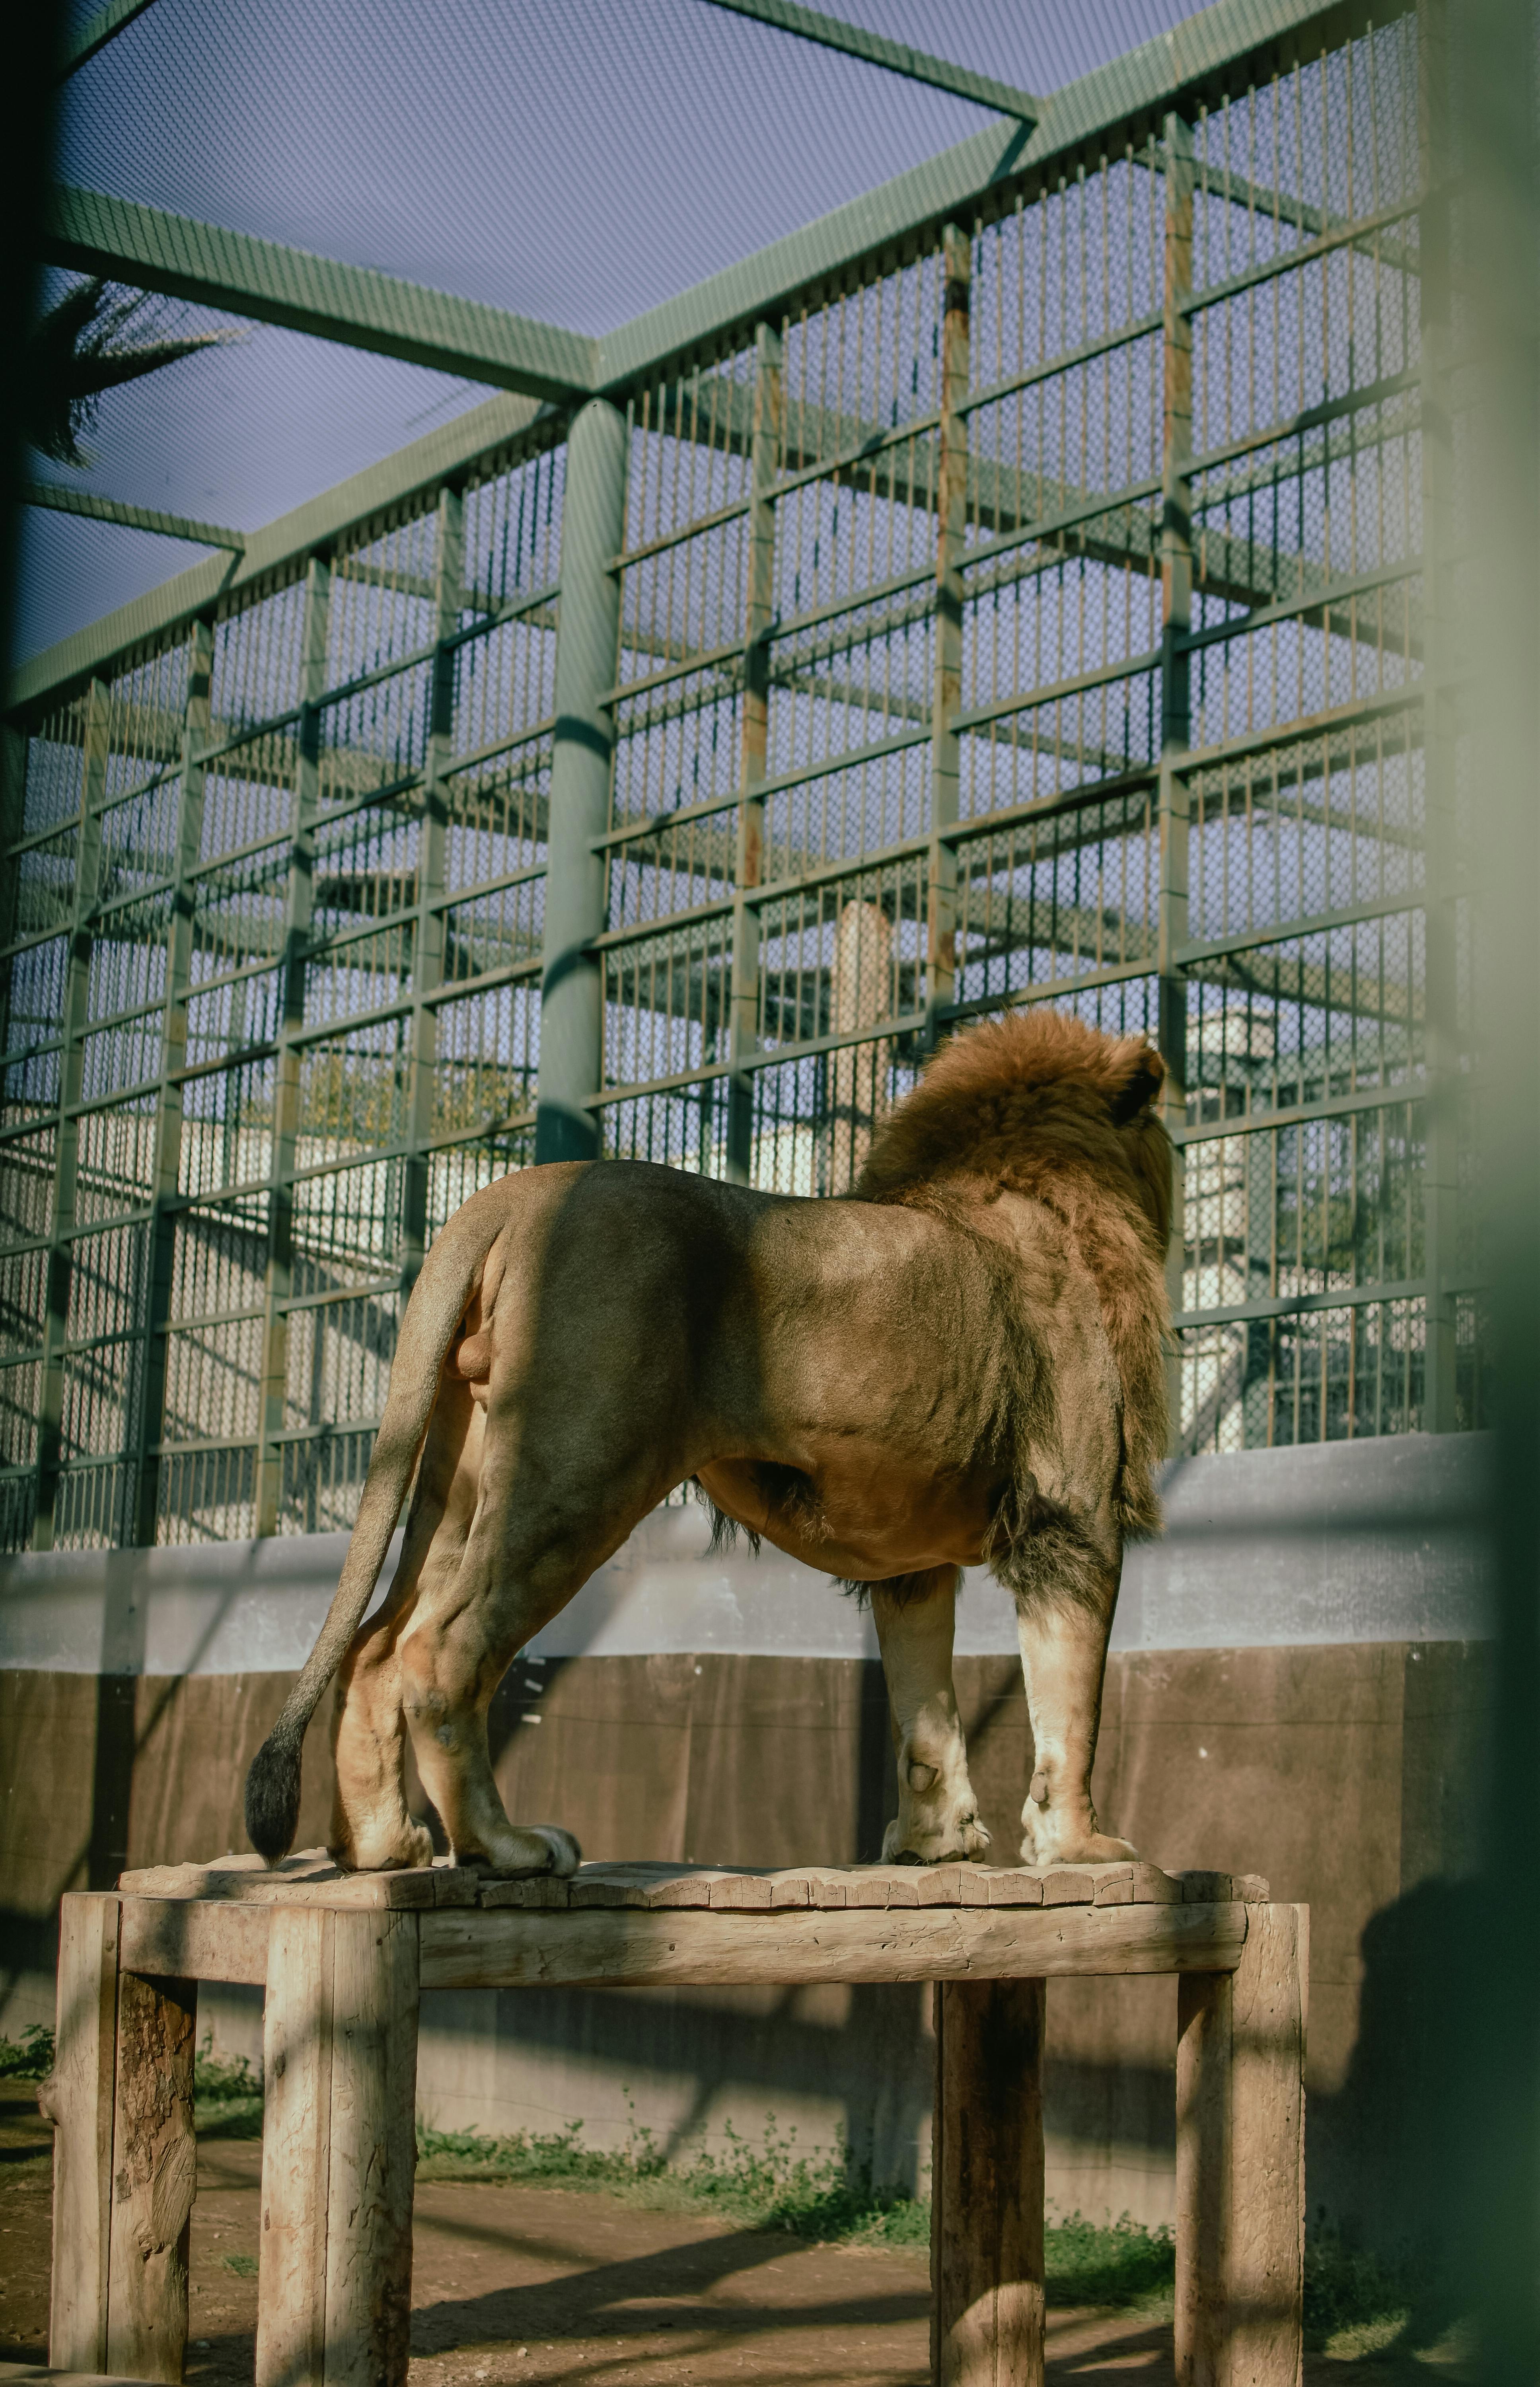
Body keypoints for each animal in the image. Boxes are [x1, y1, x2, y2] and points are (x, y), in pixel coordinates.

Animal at [246, 998, 1170, 1871]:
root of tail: (513, 1193)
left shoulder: (913, 1562)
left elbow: (925, 1714)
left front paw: (934, 1845)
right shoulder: (1075, 1516)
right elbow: (1071, 1705)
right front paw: (1079, 1846)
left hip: (458, 1481)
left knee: (374, 1646)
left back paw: (380, 1847)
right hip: (572, 1478)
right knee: (439, 1649)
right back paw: (503, 1847)